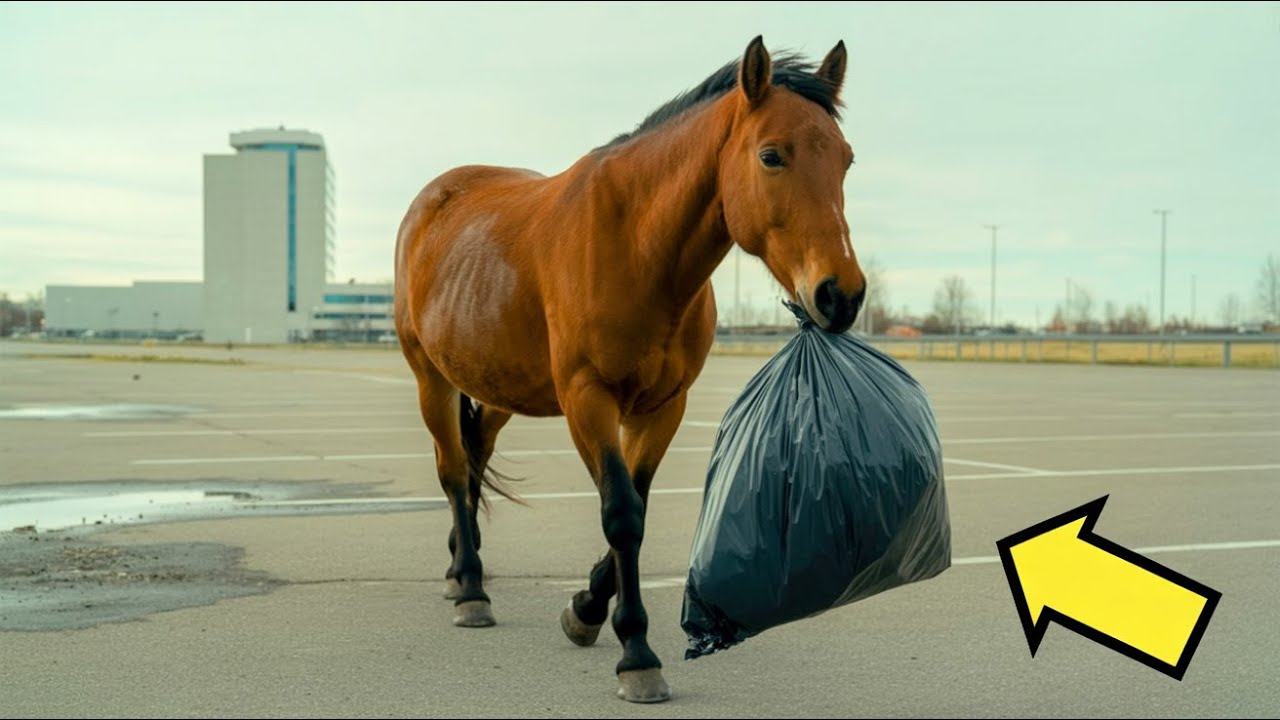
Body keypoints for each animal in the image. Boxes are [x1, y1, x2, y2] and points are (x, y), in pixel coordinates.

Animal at [392, 35, 866, 703]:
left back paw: (464, 565)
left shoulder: (663, 406)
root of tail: (434, 200)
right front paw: (636, 653)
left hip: (498, 386)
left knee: (476, 454)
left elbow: (635, 504)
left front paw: (587, 608)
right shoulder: (588, 399)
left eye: (846, 160)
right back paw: (471, 587)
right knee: (455, 473)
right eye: (772, 156)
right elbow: (621, 515)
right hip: (429, 378)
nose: (840, 295)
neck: (637, 247)